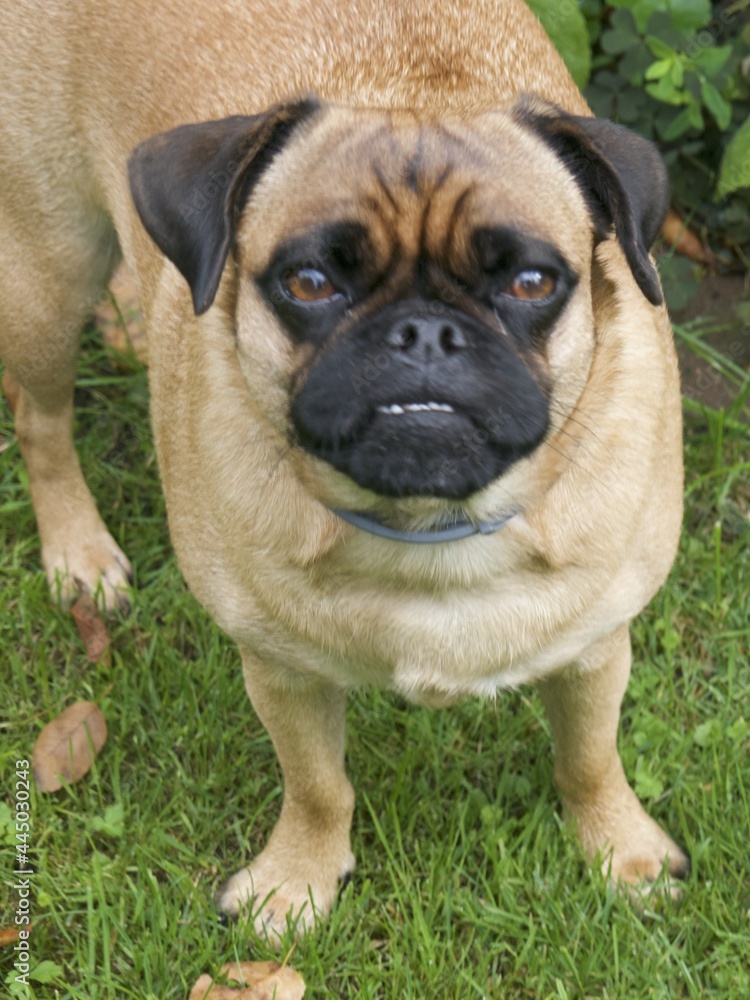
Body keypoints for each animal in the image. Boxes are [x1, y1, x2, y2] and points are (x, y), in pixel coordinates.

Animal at [0, 0, 692, 936]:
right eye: (310, 282)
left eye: (532, 281)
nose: (424, 331)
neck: (433, 528)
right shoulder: (281, 671)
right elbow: (318, 784)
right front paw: (297, 881)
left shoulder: (593, 648)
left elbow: (590, 757)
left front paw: (623, 854)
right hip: (45, 273)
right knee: (42, 421)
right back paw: (77, 551)